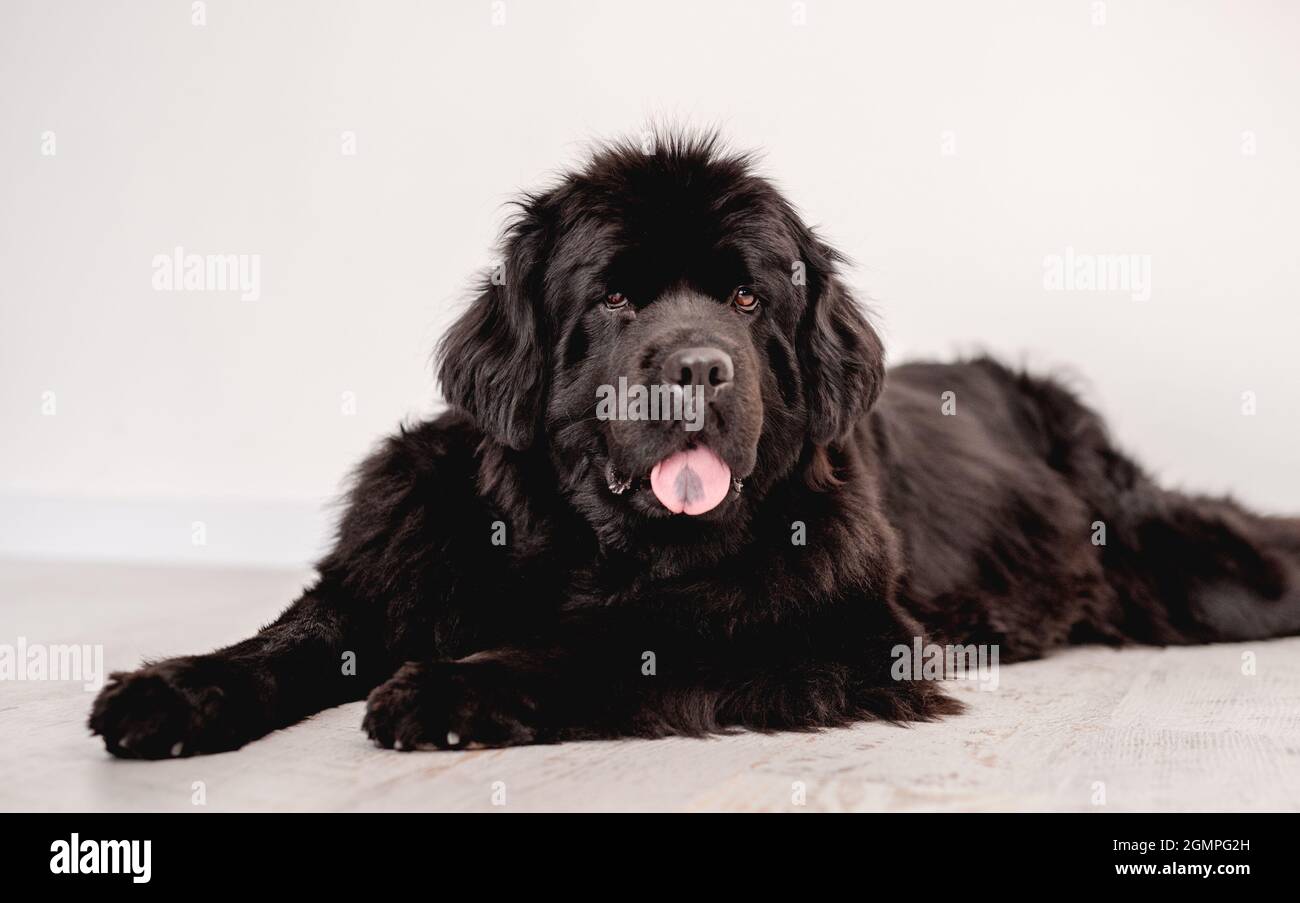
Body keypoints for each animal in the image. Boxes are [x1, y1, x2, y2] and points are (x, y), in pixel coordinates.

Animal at [91, 132, 1300, 753]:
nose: (700, 368)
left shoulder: (840, 629)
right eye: (617, 297)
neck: (574, 543)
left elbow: (636, 638)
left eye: (748, 298)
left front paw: (452, 690)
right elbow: (296, 635)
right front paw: (174, 690)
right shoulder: (398, 561)